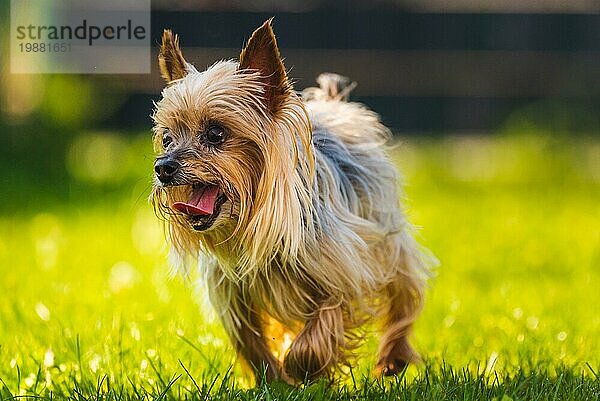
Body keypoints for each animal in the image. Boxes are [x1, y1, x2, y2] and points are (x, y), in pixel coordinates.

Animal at [152, 19, 428, 384]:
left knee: (404, 289)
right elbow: (250, 341)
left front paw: (303, 370)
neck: (251, 224)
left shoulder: (343, 270)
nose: (163, 167)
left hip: (384, 233)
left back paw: (392, 357)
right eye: (167, 138)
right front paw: (273, 380)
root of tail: (334, 104)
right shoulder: (233, 295)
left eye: (216, 133)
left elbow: (319, 330)